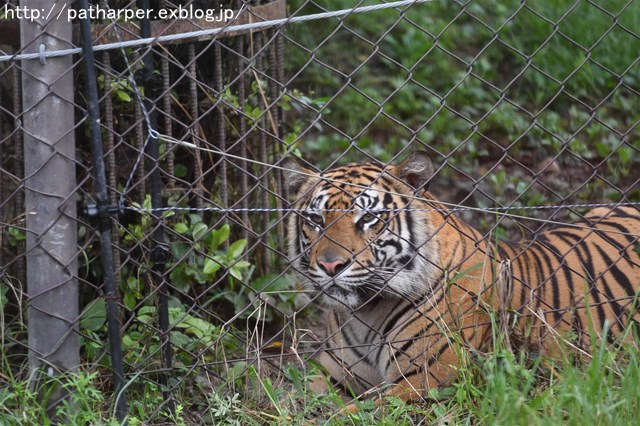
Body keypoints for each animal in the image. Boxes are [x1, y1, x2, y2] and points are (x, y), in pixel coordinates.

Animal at [282, 151, 640, 406]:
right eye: (316, 220)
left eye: (369, 218)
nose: (331, 265)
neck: (363, 314)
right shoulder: (330, 376)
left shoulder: (422, 384)